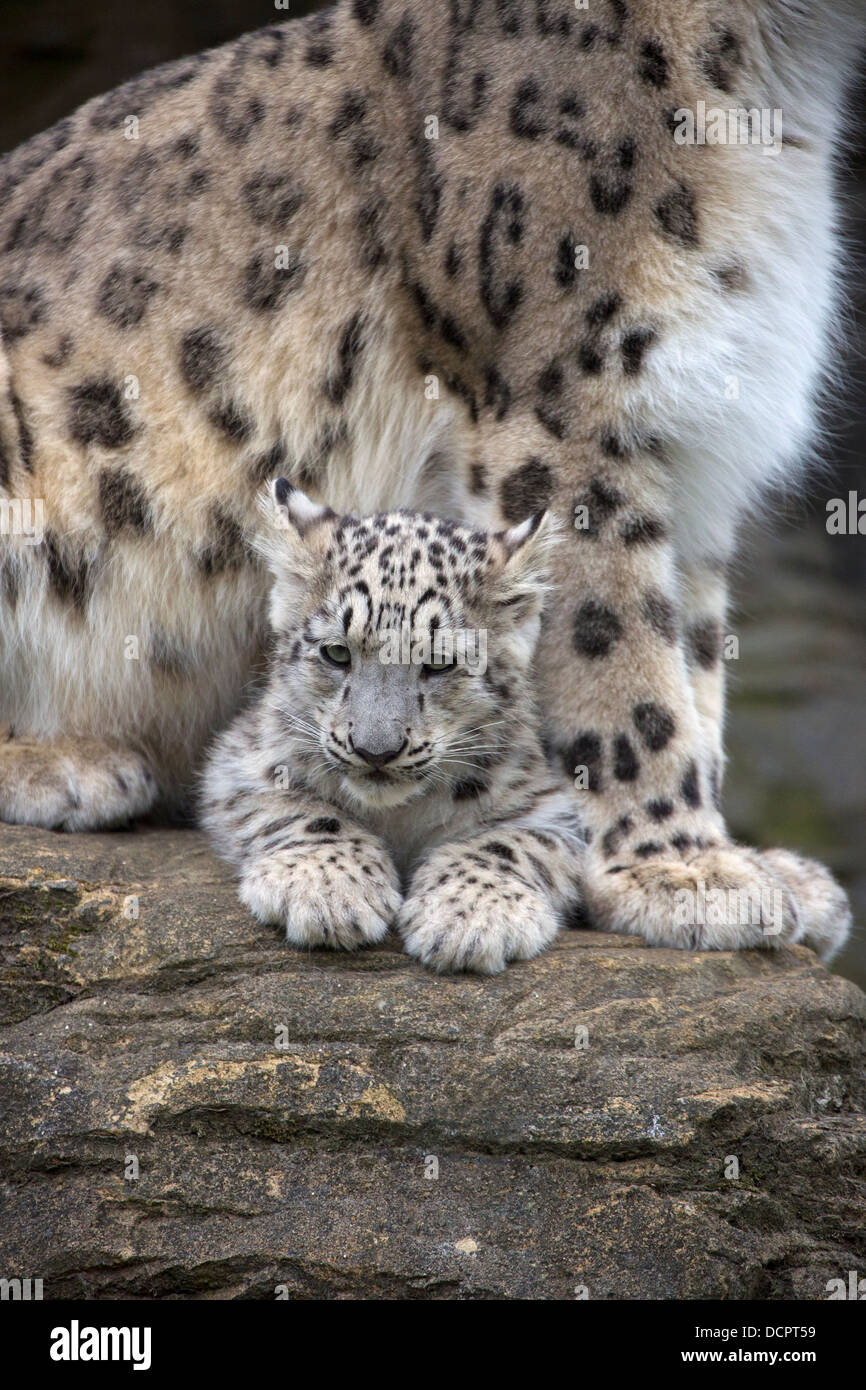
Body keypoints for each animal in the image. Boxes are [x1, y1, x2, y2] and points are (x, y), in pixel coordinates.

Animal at [201, 480, 585, 972]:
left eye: (439, 662)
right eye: (337, 653)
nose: (375, 750)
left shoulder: (548, 804)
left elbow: (511, 842)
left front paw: (469, 917)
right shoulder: (245, 761)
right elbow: (296, 808)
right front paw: (327, 888)